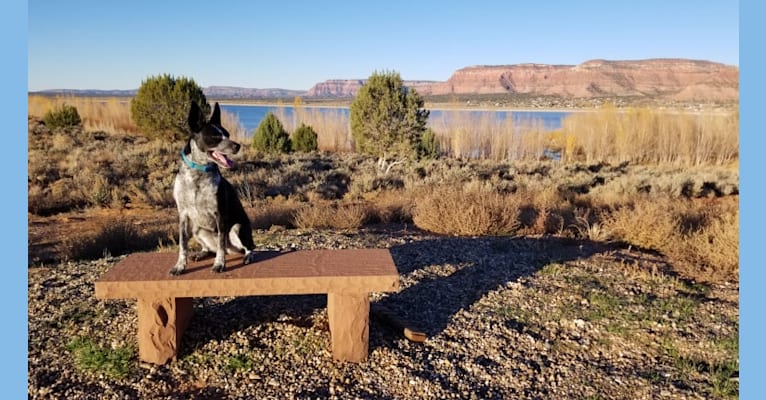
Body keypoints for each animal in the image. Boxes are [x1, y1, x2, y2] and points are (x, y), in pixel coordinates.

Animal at [171, 100, 258, 276]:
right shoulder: (183, 216)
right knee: (211, 248)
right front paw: (180, 265)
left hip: (238, 228)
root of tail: (233, 250)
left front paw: (219, 264)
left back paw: (248, 256)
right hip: (197, 229)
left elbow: (220, 244)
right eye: (215, 137)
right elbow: (183, 245)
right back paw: (202, 253)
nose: (237, 145)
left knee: (248, 247)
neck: (197, 174)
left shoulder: (220, 215)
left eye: (228, 134)